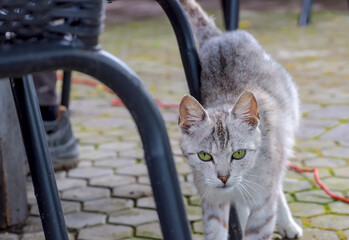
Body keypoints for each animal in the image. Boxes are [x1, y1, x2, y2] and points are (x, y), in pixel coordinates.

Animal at [177, 0, 302, 240]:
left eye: (239, 154)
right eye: (204, 156)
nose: (223, 178)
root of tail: (220, 36)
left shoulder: (262, 208)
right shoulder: (213, 203)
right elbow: (216, 231)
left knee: (277, 186)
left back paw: (288, 224)